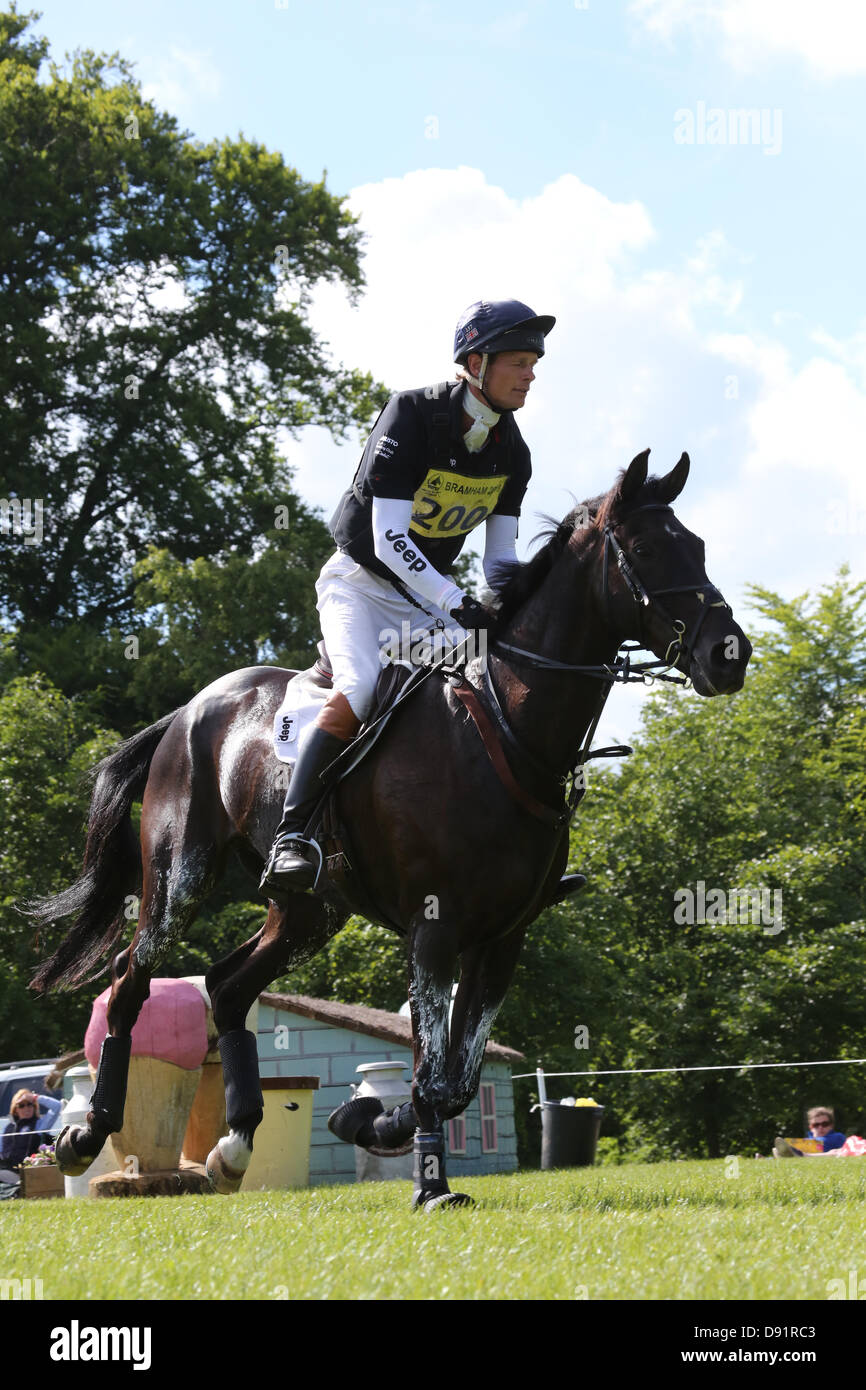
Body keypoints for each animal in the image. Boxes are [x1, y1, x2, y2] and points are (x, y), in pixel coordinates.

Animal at [30, 453, 750, 1206]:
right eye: (644, 550)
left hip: (311, 910)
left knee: (227, 987)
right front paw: (429, 1186)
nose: (729, 655)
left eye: (698, 546)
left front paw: (369, 1122)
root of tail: (188, 711)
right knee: (131, 980)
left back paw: (233, 1146)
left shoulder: (503, 939)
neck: (507, 731)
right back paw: (87, 1135)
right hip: (180, 879)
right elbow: (432, 1071)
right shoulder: (434, 928)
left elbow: (455, 1079)